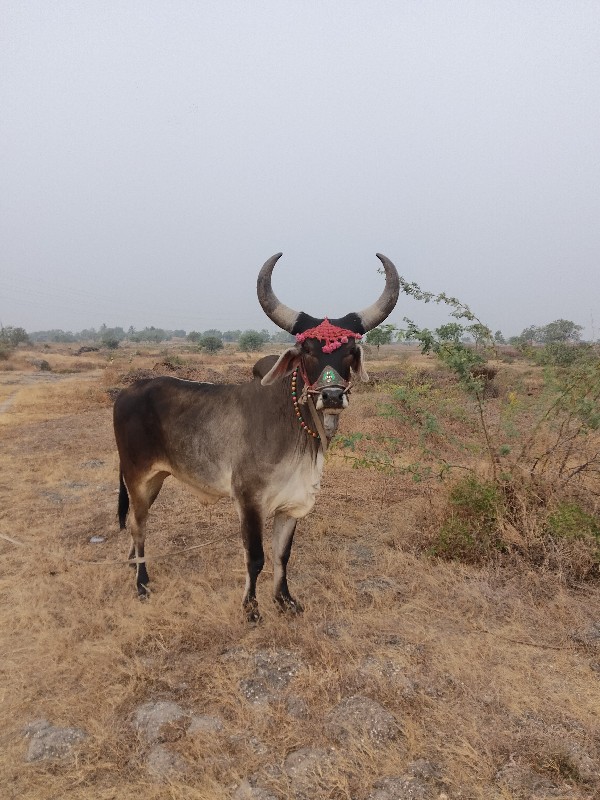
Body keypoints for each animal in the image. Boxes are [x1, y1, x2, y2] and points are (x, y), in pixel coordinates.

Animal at [115, 252, 400, 620]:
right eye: (308, 350)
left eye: (350, 351)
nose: (333, 396)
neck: (296, 429)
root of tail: (126, 391)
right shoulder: (248, 501)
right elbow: (256, 557)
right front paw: (251, 608)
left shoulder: (291, 505)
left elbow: (282, 555)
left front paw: (285, 600)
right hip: (138, 478)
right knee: (139, 526)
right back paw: (141, 582)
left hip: (154, 479)